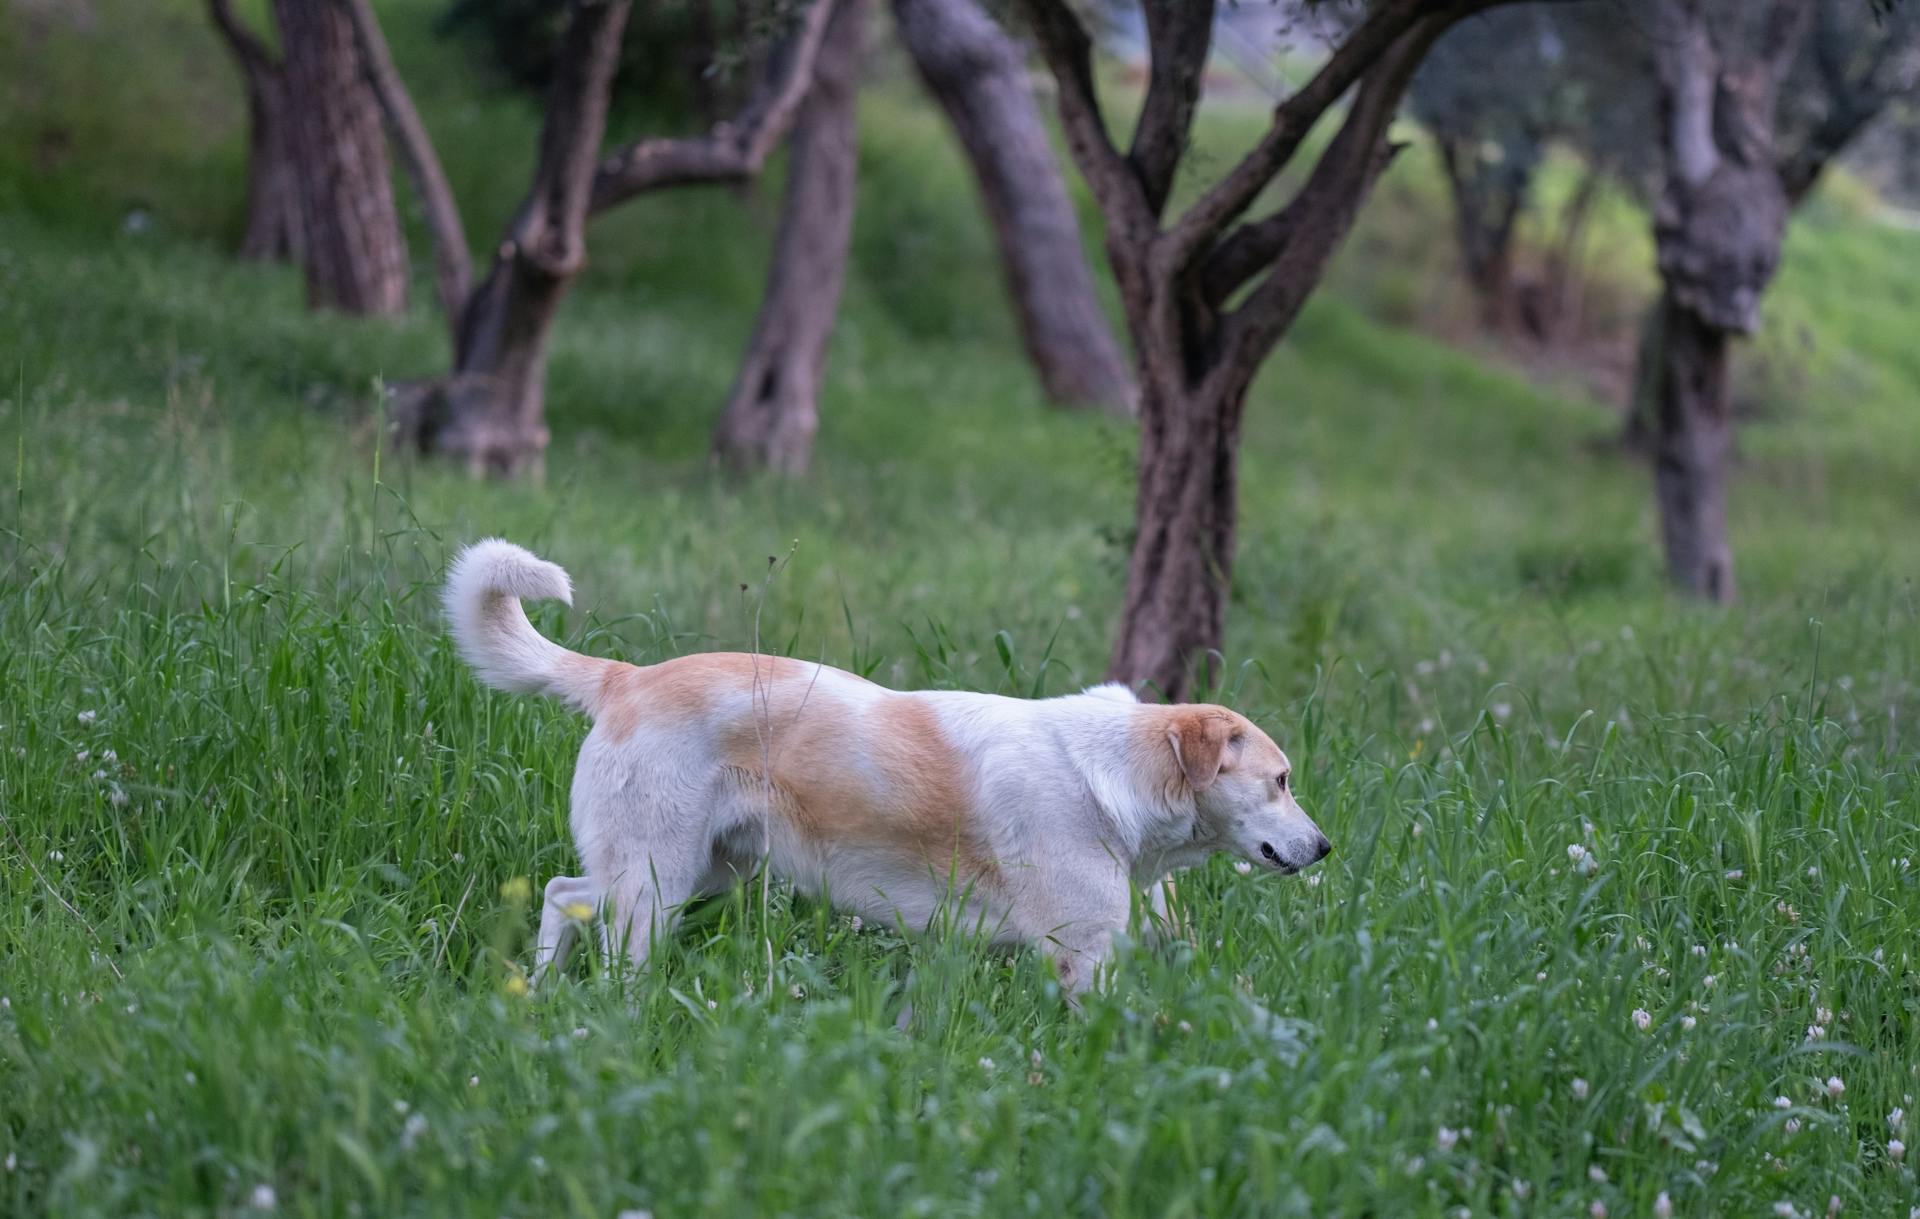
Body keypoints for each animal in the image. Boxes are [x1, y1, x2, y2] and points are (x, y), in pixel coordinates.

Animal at [441, 541, 1328, 990]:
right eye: (1282, 780)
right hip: (655, 884)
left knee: (561, 895)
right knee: (601, 940)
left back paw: (540, 998)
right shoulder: (1085, 953)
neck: (1119, 779)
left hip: (694, 871)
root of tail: (628, 677)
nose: (1325, 848)